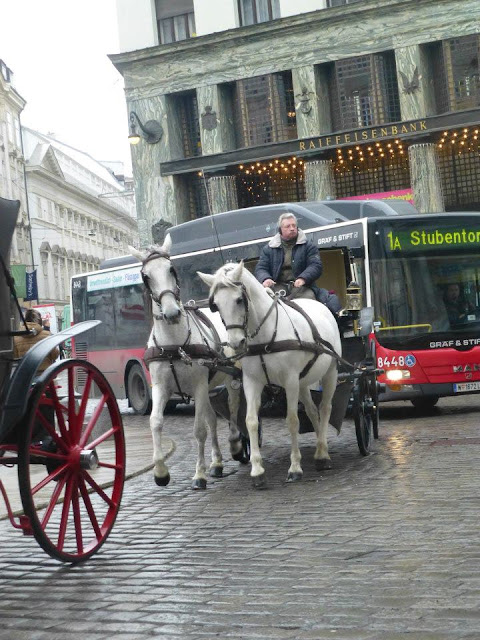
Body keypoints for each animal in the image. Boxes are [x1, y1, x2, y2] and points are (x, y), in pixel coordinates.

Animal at [129, 239, 246, 490]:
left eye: (171, 269)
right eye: (145, 276)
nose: (172, 312)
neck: (175, 345)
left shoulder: (199, 386)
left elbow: (199, 430)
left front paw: (199, 475)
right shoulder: (161, 387)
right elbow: (155, 422)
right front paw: (160, 471)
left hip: (231, 376)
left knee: (232, 409)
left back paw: (235, 443)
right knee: (212, 418)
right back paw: (217, 463)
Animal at [199, 262, 342, 488]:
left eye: (239, 299)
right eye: (216, 305)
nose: (236, 343)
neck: (265, 336)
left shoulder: (290, 380)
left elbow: (292, 420)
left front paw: (295, 468)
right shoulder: (252, 381)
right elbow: (250, 421)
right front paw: (257, 471)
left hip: (330, 373)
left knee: (325, 408)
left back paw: (324, 455)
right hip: (303, 382)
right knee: (312, 411)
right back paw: (320, 451)